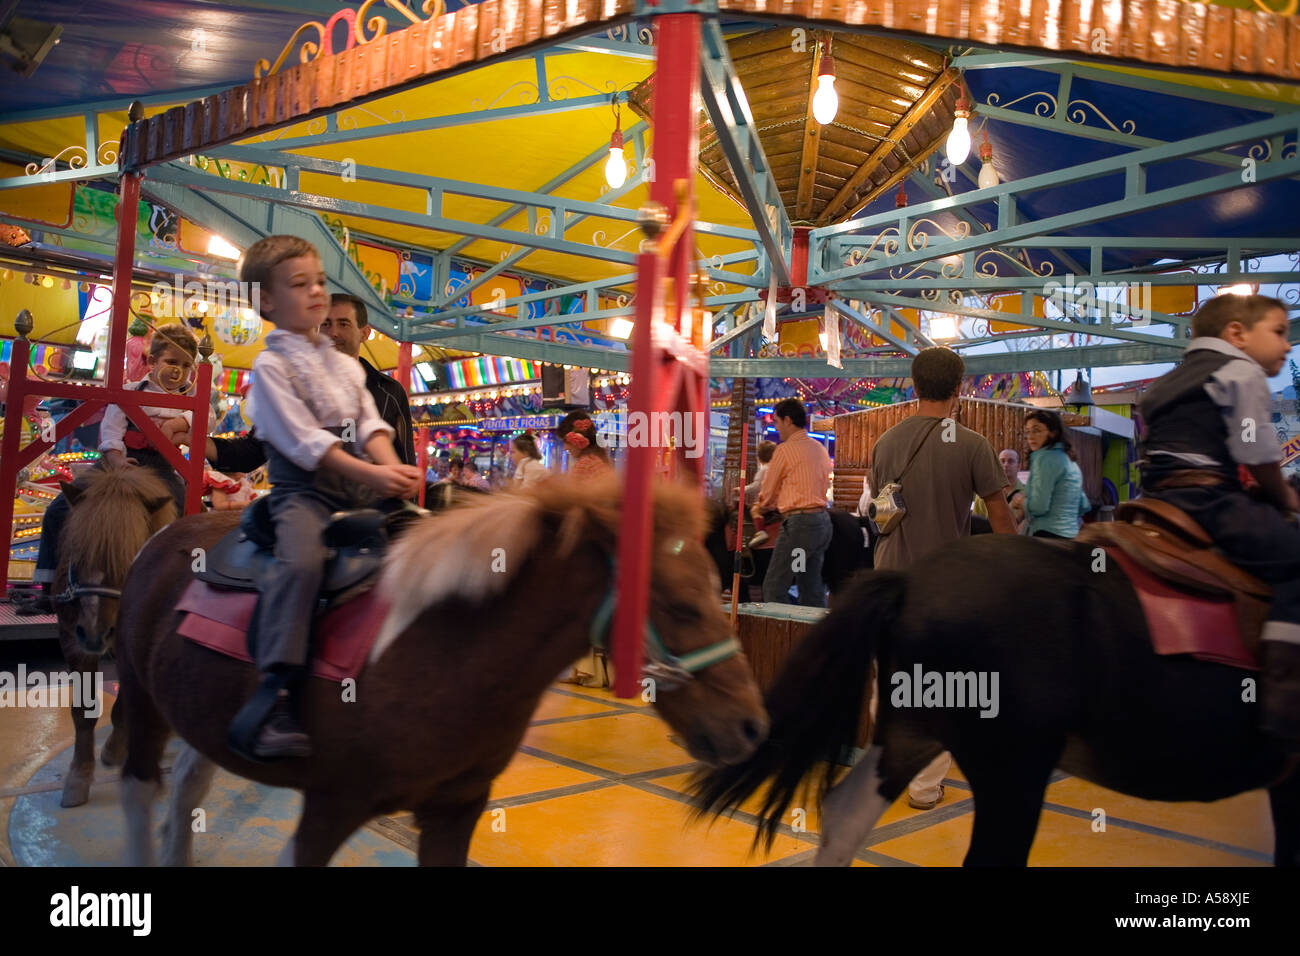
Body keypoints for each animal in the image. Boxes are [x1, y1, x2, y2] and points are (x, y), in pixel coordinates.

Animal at [53, 465, 178, 806]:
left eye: (128, 558)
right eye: (76, 553)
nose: (95, 633)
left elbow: (124, 705)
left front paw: (114, 749)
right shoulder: (72, 641)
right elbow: (83, 712)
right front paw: (78, 776)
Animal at [116, 478, 764, 868]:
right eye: (682, 607)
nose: (753, 727)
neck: (445, 650)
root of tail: (166, 535)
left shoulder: (456, 809)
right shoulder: (330, 805)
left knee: (187, 788)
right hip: (143, 701)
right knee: (140, 787)